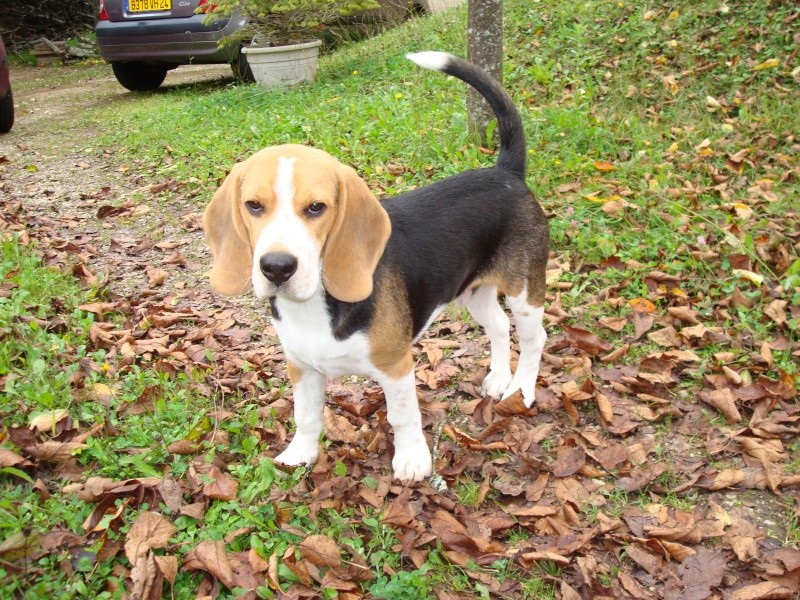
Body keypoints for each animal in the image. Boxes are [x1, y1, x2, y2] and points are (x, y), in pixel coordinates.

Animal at [203, 52, 552, 482]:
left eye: (316, 208)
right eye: (253, 206)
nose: (277, 267)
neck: (316, 303)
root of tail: (506, 172)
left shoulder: (396, 366)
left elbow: (402, 416)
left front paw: (412, 460)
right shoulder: (302, 367)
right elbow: (306, 417)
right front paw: (300, 454)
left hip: (524, 291)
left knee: (535, 339)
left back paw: (521, 390)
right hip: (474, 292)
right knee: (500, 327)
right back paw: (500, 379)